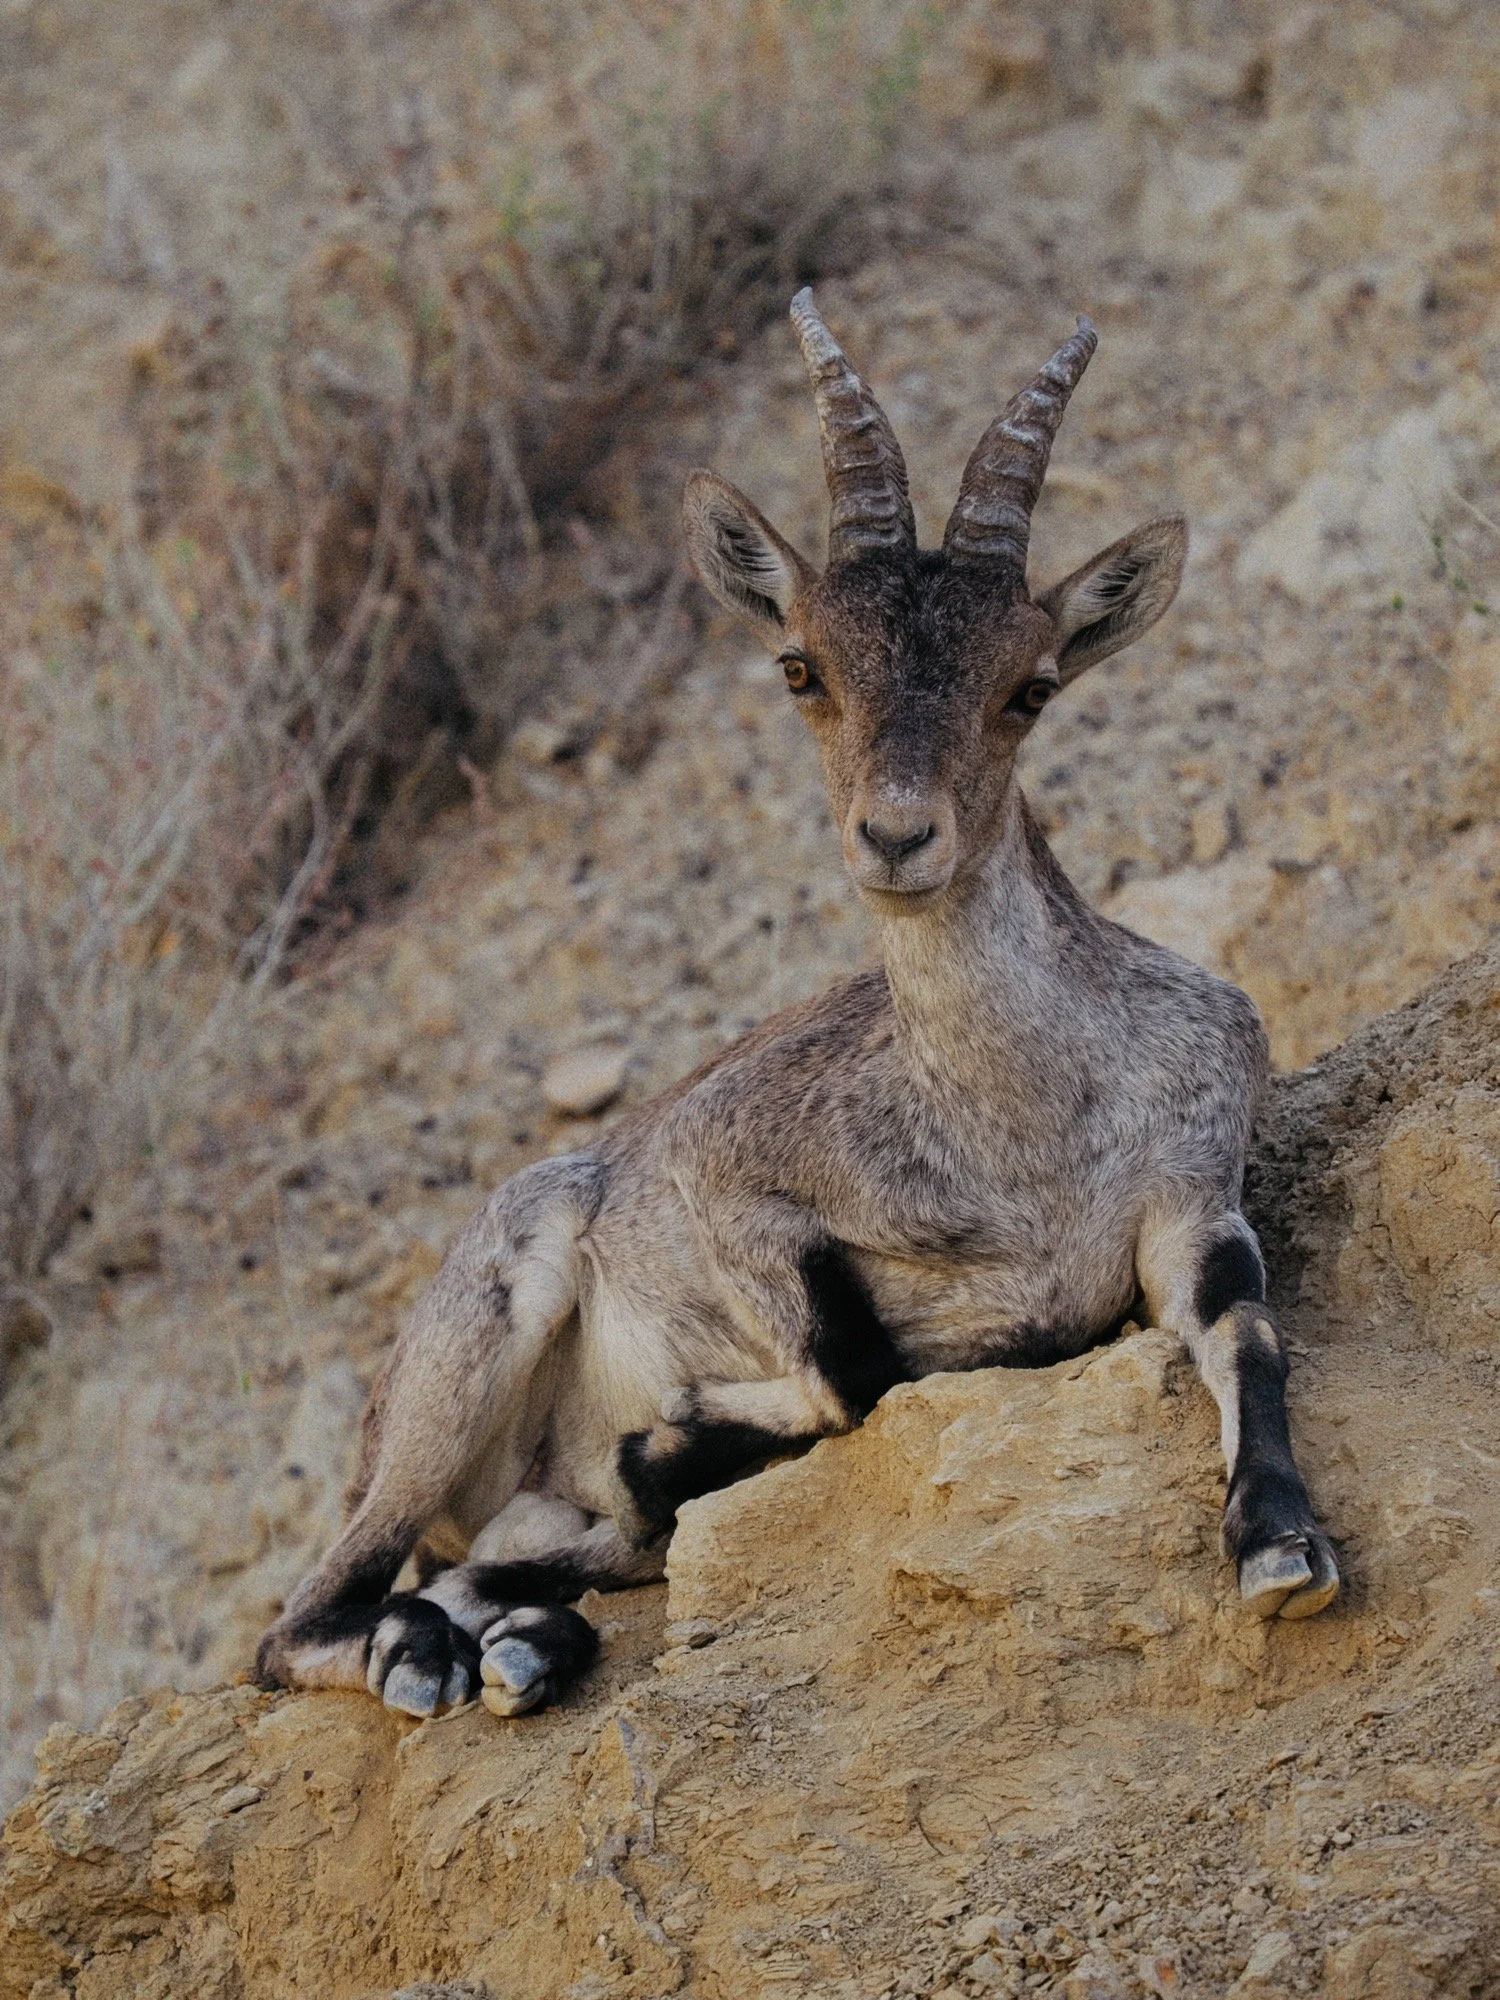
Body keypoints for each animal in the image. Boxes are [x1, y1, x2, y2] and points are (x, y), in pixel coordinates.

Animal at [255, 293, 1339, 1721]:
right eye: (800, 665)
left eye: (1030, 684)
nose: (898, 835)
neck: (1023, 1126)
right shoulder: (735, 1187)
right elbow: (853, 1369)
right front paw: (666, 1439)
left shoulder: (1191, 1189)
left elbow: (1245, 1326)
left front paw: (1283, 1541)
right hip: (475, 1341)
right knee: (304, 1622)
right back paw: (430, 1646)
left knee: (502, 1565)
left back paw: (522, 1636)